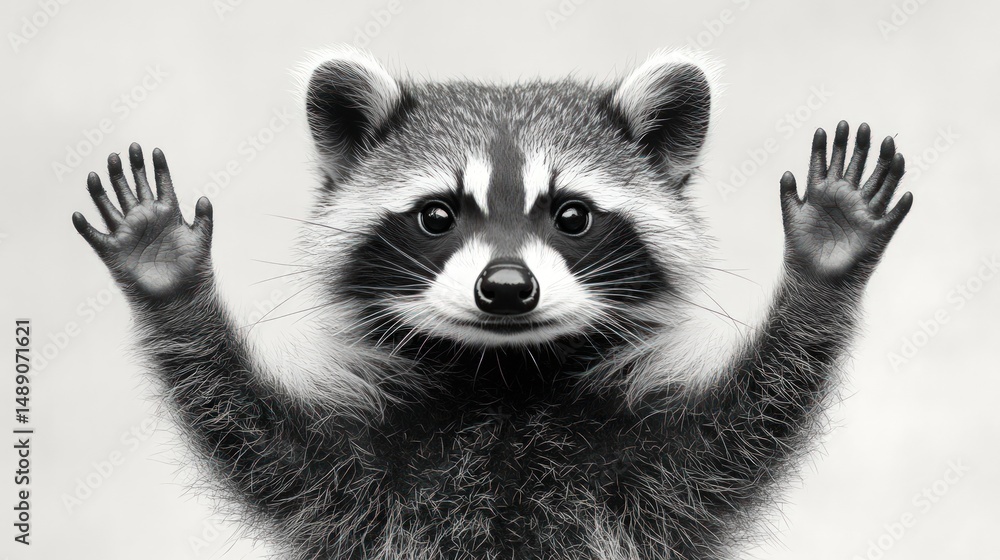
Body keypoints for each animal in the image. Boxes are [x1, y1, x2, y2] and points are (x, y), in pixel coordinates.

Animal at [72, 48, 912, 559]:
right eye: (438, 216)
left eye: (571, 216)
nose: (506, 288)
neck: (505, 378)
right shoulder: (364, 477)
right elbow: (259, 444)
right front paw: (173, 289)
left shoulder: (647, 473)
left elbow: (745, 433)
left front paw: (822, 272)